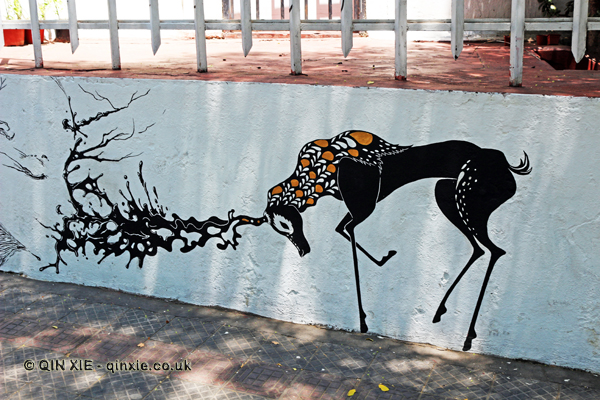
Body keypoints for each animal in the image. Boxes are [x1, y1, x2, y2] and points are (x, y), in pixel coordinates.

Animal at [244, 131, 528, 350]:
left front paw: (362, 321)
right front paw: (383, 260)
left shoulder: (363, 204)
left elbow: (348, 231)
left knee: (496, 250)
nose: (303, 249)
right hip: (447, 194)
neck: (316, 172)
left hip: (467, 199)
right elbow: (341, 229)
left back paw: (467, 336)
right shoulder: (355, 208)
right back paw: (441, 313)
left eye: (284, 226)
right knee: (480, 249)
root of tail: (503, 161)